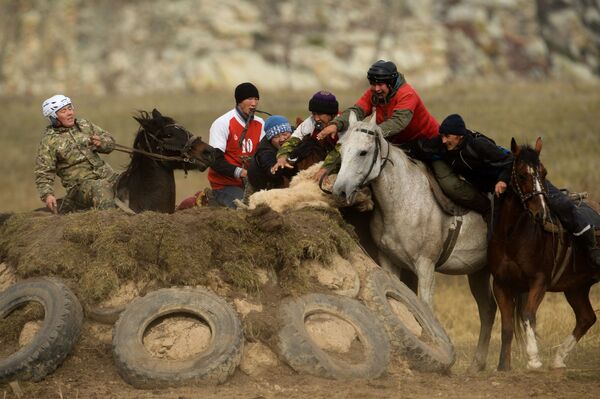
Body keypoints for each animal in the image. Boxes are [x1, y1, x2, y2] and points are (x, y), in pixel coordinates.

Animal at [332, 112, 496, 372]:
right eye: (340, 147)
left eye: (363, 152)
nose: (339, 192)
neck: (403, 200)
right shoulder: (389, 262)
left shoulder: (425, 266)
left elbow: (425, 307)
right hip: (478, 272)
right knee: (488, 311)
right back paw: (477, 365)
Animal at [490, 137, 596, 372]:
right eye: (522, 174)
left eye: (544, 173)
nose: (542, 213)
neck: (513, 236)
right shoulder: (501, 284)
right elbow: (507, 326)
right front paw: (503, 366)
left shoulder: (539, 282)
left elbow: (528, 315)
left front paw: (533, 358)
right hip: (576, 288)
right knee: (586, 318)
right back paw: (558, 359)